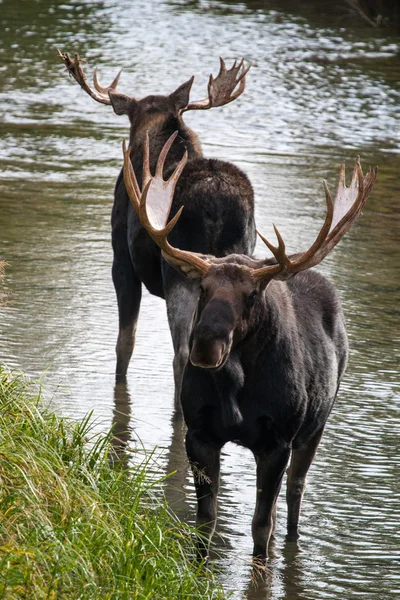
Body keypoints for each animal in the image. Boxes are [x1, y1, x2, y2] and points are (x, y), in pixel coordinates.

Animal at [124, 134, 378, 560]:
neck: (235, 388)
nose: (206, 345)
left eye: (252, 294)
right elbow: (206, 522)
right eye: (202, 287)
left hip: (316, 425)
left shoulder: (277, 441)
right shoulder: (200, 434)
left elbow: (261, 526)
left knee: (293, 494)